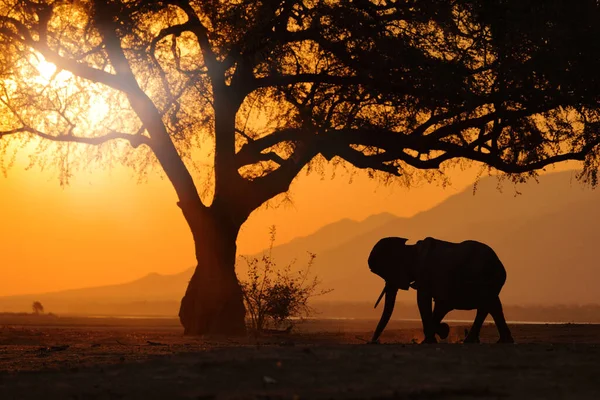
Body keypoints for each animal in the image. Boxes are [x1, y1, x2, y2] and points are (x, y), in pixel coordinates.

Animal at [368, 238, 512, 344]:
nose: (373, 342)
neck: (411, 248)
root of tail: (499, 263)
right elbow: (438, 304)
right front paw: (441, 331)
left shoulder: (425, 274)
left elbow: (425, 301)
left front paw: (435, 336)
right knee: (491, 305)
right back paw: (498, 341)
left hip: (486, 278)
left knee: (488, 304)